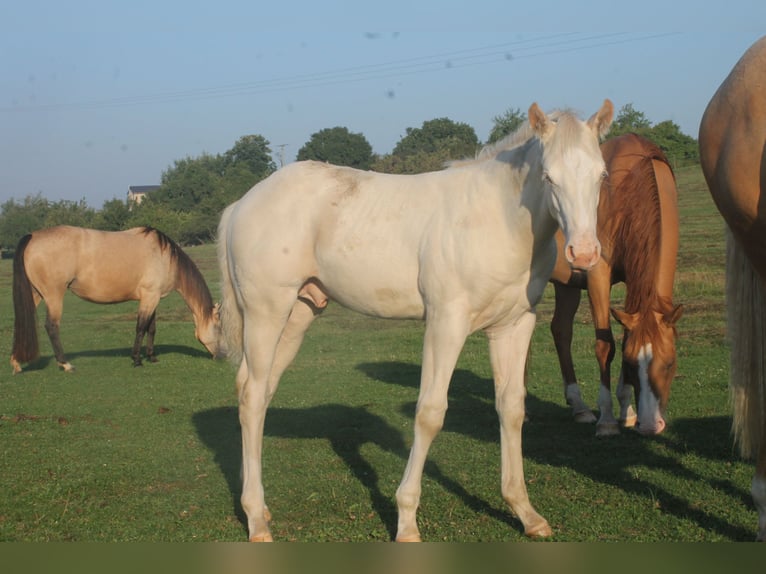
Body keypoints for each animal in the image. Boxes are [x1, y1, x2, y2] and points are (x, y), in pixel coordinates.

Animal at [11, 225, 222, 373]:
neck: (164, 256)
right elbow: (141, 328)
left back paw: (16, 362)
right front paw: (137, 360)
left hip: (36, 294)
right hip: (54, 296)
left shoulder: (153, 298)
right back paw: (66, 364)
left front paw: (152, 357)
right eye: (219, 328)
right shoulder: (149, 297)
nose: (221, 356)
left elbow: (151, 328)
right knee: (52, 327)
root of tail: (32, 236)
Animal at [217, 99, 614, 542]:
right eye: (549, 176)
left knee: (257, 389)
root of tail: (241, 205)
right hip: (267, 311)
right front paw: (406, 521)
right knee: (252, 395)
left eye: (602, 175)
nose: (584, 253)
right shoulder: (446, 323)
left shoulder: (513, 326)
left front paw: (526, 513)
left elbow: (512, 408)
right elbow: (430, 413)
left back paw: (259, 507)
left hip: (299, 312)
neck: (499, 219)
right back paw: (256, 519)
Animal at [549, 133, 683, 436]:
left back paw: (579, 408)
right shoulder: (598, 275)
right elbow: (605, 345)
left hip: (566, 284)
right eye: (633, 365)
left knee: (560, 330)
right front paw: (608, 420)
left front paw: (627, 412)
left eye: (669, 363)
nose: (650, 426)